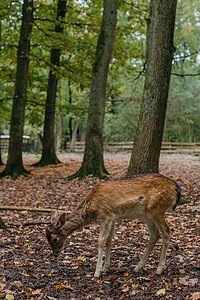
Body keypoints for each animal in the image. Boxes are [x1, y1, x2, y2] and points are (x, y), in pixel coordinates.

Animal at [46, 173, 180, 278]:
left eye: (54, 239)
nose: (55, 254)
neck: (91, 209)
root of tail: (176, 189)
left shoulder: (106, 216)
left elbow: (101, 241)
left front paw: (97, 272)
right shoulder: (113, 218)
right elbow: (109, 240)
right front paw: (106, 267)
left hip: (157, 209)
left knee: (166, 232)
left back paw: (159, 269)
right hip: (147, 214)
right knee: (155, 234)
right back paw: (138, 267)